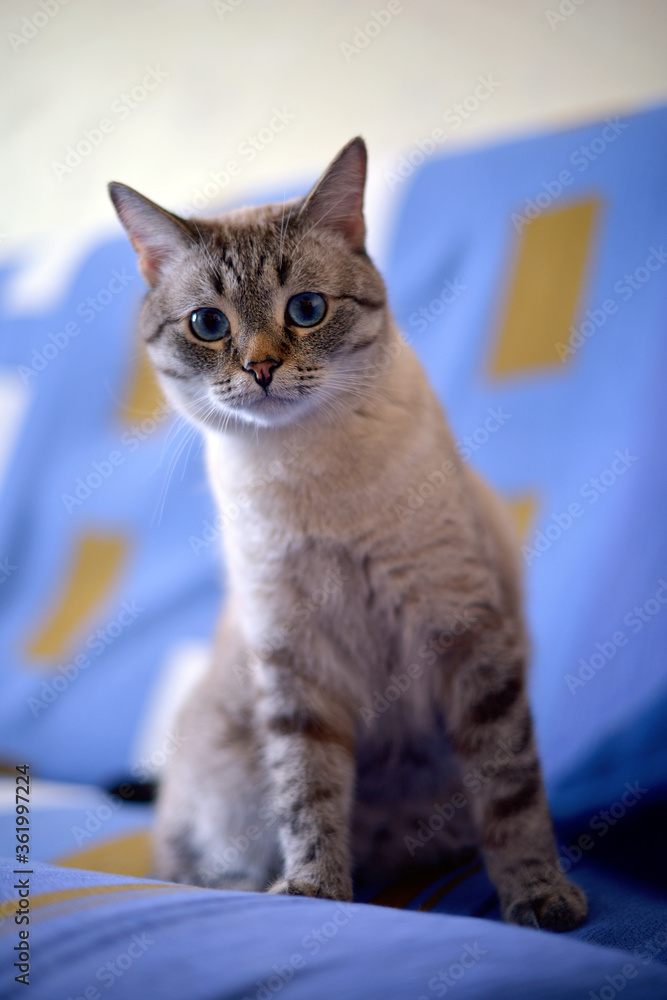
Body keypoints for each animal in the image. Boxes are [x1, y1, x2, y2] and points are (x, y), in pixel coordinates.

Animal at [109, 139, 588, 928]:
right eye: (209, 325)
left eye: (305, 311)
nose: (261, 368)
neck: (307, 473)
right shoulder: (296, 661)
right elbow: (308, 794)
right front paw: (314, 893)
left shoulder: (465, 633)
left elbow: (511, 796)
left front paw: (540, 897)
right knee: (187, 868)